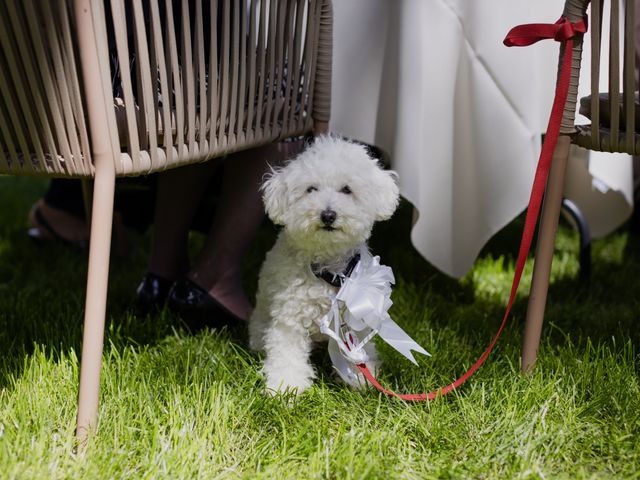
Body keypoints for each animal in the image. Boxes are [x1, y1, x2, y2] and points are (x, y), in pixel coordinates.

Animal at [250, 135, 400, 394]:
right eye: (311, 189)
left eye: (347, 189)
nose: (328, 215)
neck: (330, 270)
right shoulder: (290, 317)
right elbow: (286, 354)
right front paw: (285, 386)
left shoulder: (354, 320)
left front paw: (360, 376)